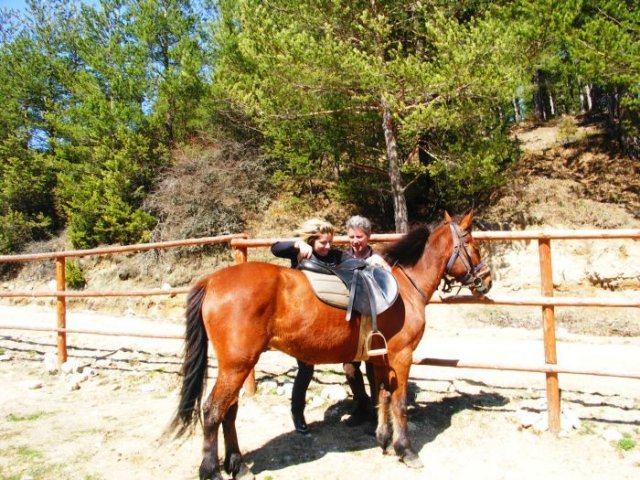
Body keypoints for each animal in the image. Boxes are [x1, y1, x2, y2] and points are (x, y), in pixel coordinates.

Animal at [168, 211, 492, 480]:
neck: (403, 286)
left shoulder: (380, 358)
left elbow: (383, 397)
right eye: (472, 243)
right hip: (236, 365)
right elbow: (398, 403)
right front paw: (406, 450)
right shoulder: (402, 356)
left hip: (237, 365)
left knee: (229, 411)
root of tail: (212, 280)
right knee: (212, 411)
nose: (487, 279)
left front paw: (384, 441)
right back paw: (211, 470)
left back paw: (238, 465)